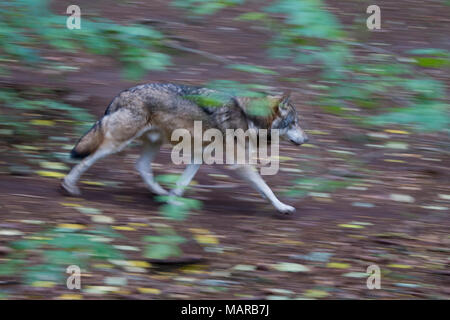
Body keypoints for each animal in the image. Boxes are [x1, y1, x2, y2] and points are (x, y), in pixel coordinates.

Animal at [62, 82, 310, 214]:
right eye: (295, 123)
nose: (307, 139)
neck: (251, 119)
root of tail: (122, 94)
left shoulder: (199, 156)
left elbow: (182, 182)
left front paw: (173, 201)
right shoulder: (239, 164)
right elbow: (266, 188)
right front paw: (282, 207)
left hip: (153, 143)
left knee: (141, 167)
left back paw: (161, 193)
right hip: (116, 144)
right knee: (86, 160)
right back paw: (69, 186)